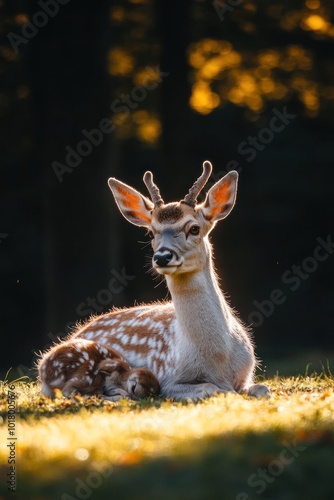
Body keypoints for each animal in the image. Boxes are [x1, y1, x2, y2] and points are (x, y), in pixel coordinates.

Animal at [64, 162, 268, 400]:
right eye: (152, 233)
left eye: (194, 228)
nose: (162, 256)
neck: (219, 362)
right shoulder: (168, 380)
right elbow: (211, 388)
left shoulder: (247, 375)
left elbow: (262, 388)